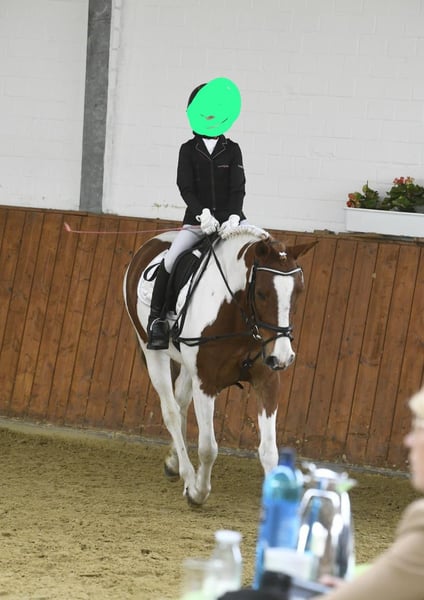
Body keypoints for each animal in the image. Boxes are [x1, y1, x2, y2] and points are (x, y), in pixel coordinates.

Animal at [123, 225, 315, 505]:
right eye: (262, 293)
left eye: (298, 292)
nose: (282, 357)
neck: (237, 315)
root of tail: (151, 242)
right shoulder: (206, 382)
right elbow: (208, 448)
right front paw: (197, 492)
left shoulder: (267, 380)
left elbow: (269, 451)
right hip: (152, 352)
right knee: (171, 411)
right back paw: (187, 474)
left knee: (180, 404)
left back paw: (173, 462)